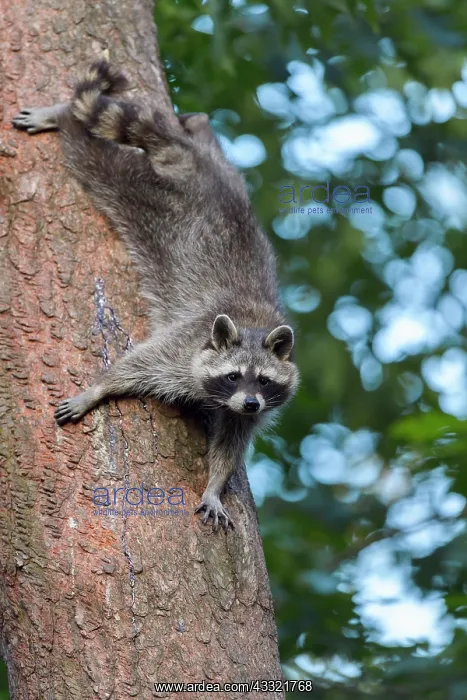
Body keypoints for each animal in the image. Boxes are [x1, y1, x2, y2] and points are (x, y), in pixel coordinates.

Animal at [12, 60, 299, 531]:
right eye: (234, 375)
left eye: (263, 381)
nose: (251, 402)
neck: (253, 327)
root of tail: (188, 160)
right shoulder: (186, 345)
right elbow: (139, 363)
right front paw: (100, 388)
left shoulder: (250, 407)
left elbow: (231, 443)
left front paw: (215, 484)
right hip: (157, 200)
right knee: (100, 163)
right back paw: (66, 116)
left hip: (222, 170)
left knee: (194, 135)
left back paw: (196, 123)